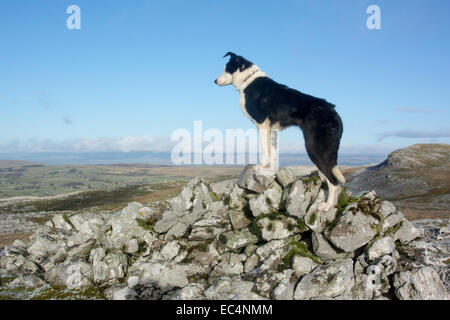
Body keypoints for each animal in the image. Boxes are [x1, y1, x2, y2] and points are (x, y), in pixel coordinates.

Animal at [214, 52, 344, 212]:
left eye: (227, 68)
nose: (215, 81)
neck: (248, 80)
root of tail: (333, 111)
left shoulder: (261, 124)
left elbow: (265, 150)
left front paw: (260, 167)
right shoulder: (271, 129)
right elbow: (272, 152)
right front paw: (270, 170)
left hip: (314, 148)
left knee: (333, 181)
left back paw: (328, 205)